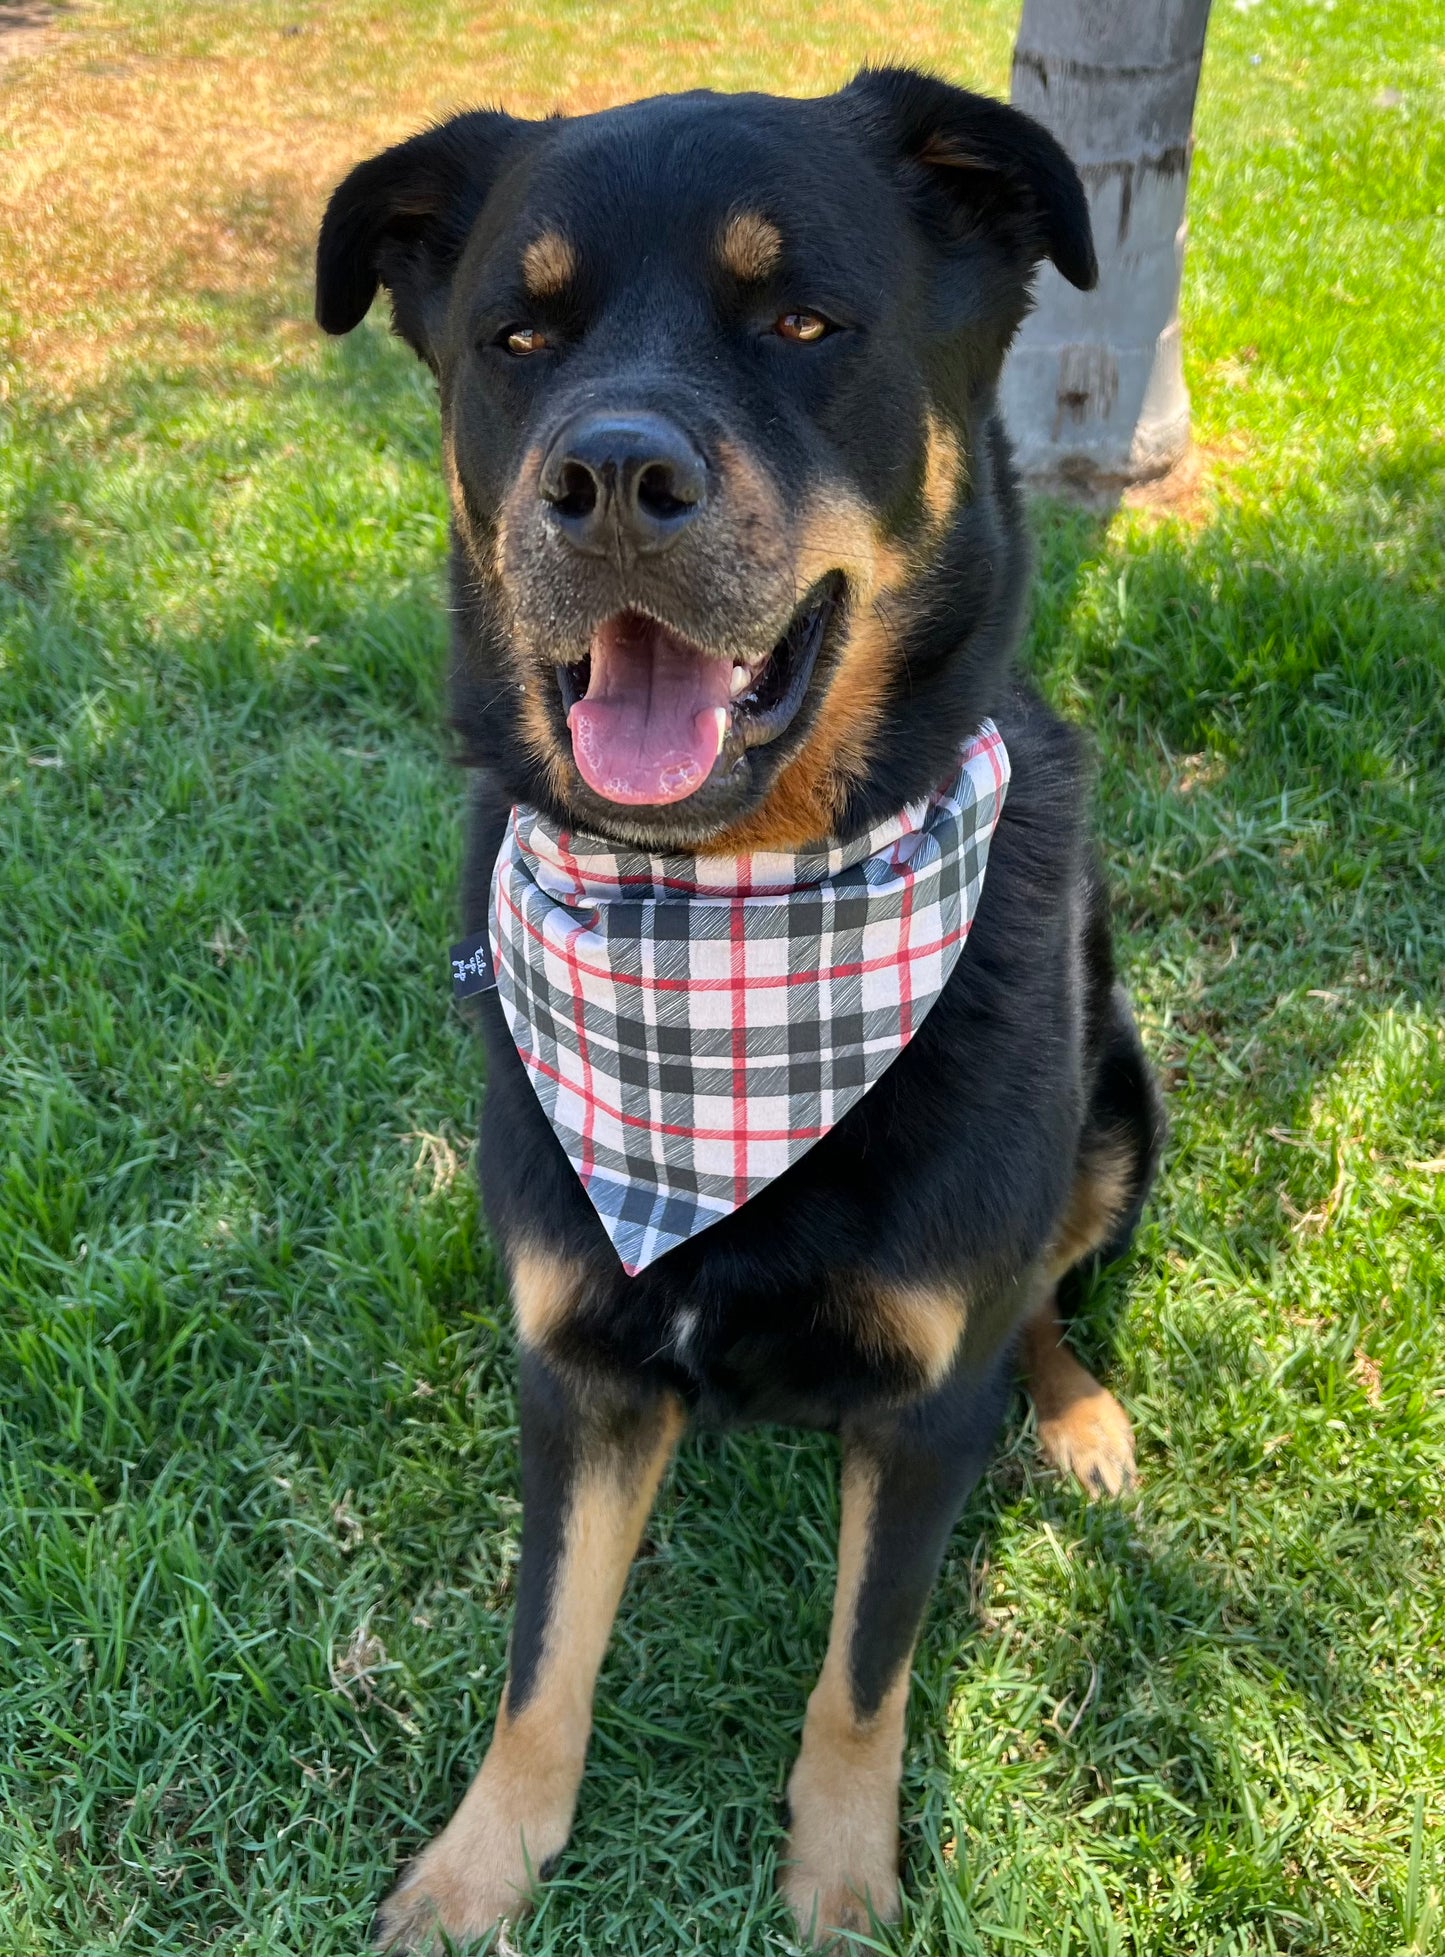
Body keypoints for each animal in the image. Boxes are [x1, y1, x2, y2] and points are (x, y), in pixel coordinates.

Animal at [315, 68, 1159, 1949]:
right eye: (517, 335)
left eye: (802, 323)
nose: (613, 476)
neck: (725, 924)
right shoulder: (575, 1368)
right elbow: (540, 1660)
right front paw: (478, 1870)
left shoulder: (921, 1410)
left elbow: (863, 1677)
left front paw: (840, 1885)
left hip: (1120, 1109)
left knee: (1045, 1294)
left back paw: (1077, 1413)